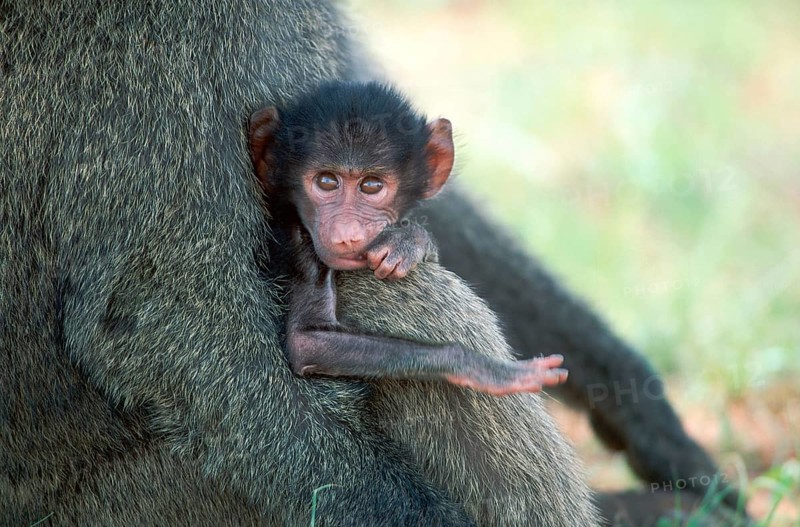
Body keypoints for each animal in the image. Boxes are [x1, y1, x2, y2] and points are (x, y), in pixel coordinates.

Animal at [248, 81, 568, 396]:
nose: (346, 234)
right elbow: (307, 341)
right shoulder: (300, 238)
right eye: (326, 182)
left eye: (371, 186)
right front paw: (479, 367)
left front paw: (410, 241)